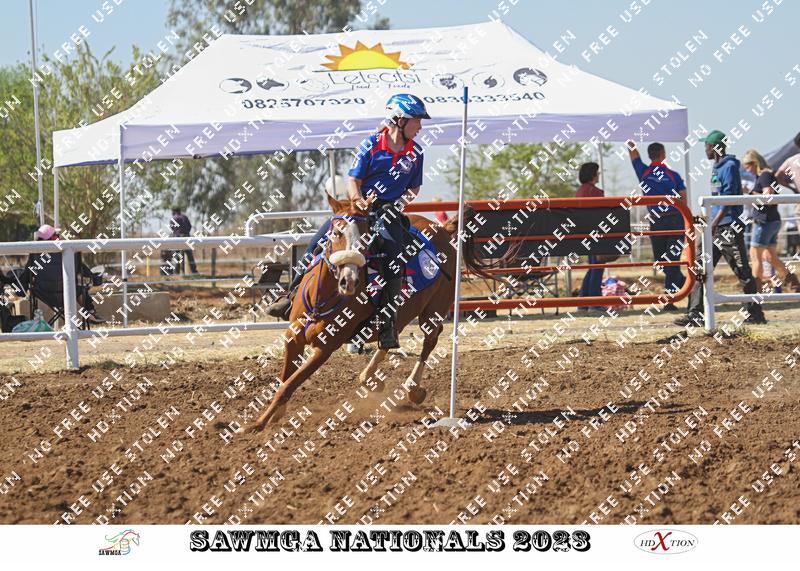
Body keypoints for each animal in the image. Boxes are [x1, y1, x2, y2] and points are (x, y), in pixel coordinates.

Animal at [250, 194, 507, 431]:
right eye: (336, 233)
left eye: (365, 238)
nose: (349, 281)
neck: (321, 299)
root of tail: (442, 230)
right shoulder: (293, 337)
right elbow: (285, 379)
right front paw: (272, 415)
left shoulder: (324, 348)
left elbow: (288, 384)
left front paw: (257, 424)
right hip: (404, 310)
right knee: (391, 335)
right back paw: (369, 377)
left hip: (433, 310)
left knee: (429, 340)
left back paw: (413, 388)